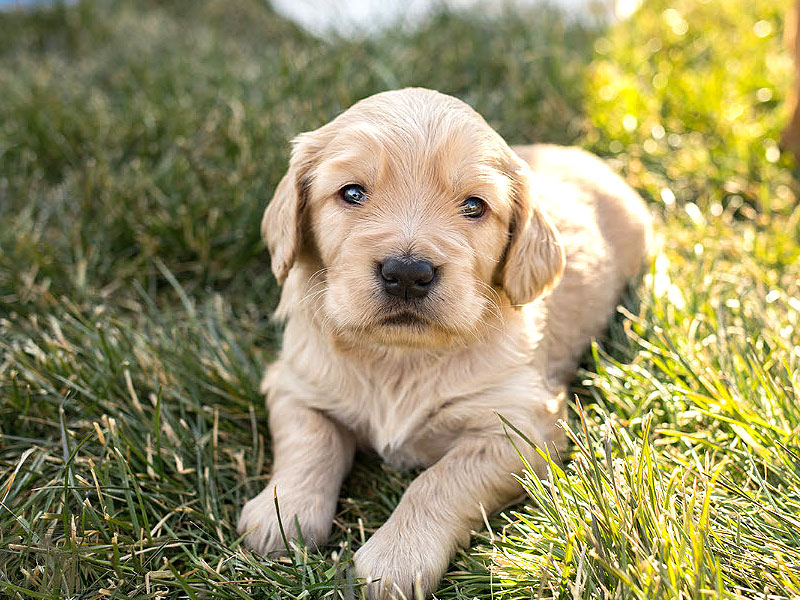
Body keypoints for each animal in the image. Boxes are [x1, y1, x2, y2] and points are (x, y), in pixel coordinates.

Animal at [238, 86, 648, 596]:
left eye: (474, 206)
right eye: (351, 193)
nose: (407, 273)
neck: (399, 359)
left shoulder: (519, 428)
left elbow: (438, 481)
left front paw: (397, 556)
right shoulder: (296, 384)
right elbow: (310, 442)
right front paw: (283, 513)